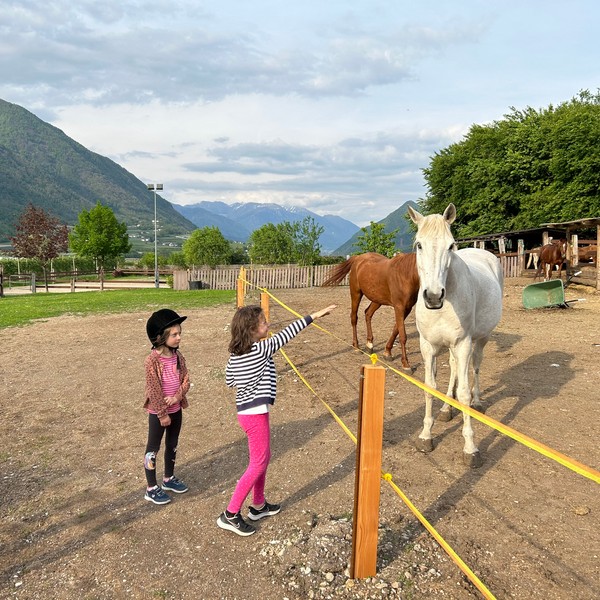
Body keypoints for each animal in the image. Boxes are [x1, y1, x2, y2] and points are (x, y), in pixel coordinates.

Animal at [408, 204, 502, 466]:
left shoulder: (463, 343)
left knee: (476, 368)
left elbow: (463, 393)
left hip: (480, 340)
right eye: (418, 244)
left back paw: (478, 402)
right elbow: (430, 387)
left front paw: (470, 448)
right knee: (452, 368)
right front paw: (426, 436)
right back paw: (445, 410)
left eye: (450, 245)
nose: (433, 296)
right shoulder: (428, 346)